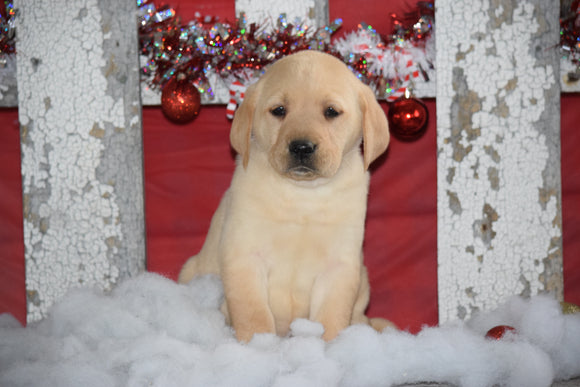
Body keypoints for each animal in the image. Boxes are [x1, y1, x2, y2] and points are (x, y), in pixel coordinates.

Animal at [179, 49, 392, 342]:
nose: (301, 147)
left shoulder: (338, 267)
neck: (302, 196)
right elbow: (253, 314)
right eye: (279, 110)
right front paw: (260, 345)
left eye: (331, 112)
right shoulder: (244, 256)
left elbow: (331, 318)